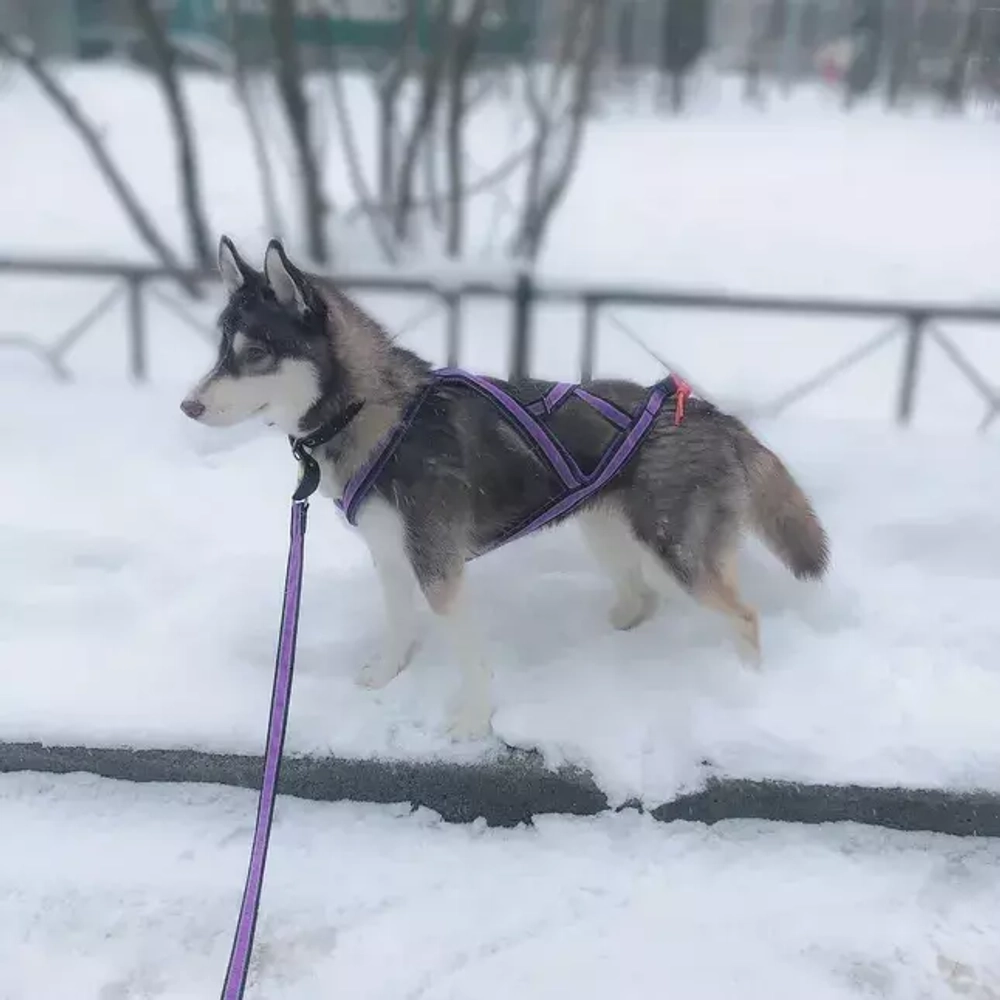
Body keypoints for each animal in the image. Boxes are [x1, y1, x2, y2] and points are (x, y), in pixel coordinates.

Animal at [180, 236, 830, 740]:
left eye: (255, 353)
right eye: (220, 350)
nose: (188, 406)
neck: (374, 413)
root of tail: (712, 413)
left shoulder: (438, 567)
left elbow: (470, 658)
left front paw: (472, 723)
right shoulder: (391, 555)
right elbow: (397, 625)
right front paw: (387, 675)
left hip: (678, 552)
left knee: (743, 616)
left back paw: (747, 689)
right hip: (606, 530)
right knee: (643, 597)